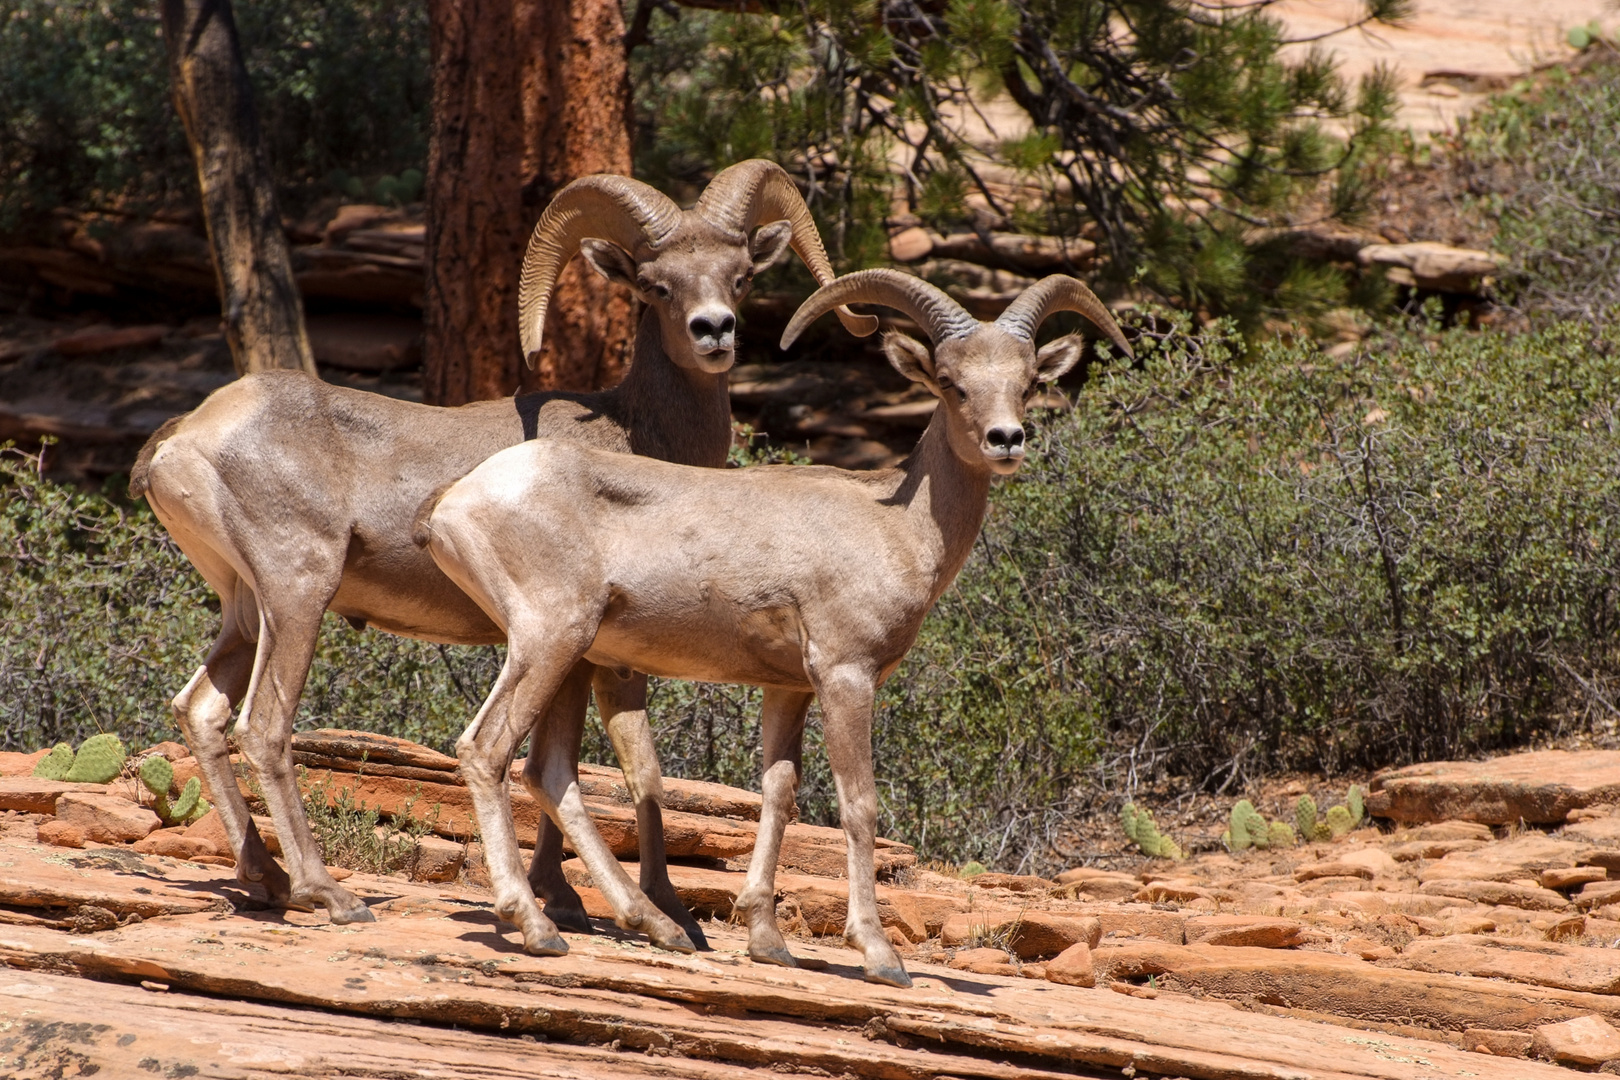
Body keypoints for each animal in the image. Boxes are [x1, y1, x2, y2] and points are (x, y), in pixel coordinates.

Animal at [132, 162, 874, 952]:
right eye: (656, 285)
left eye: (739, 277)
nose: (715, 331)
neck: (639, 435)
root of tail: (189, 435)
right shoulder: (592, 657)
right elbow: (599, 769)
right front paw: (630, 913)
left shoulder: (585, 658)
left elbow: (604, 772)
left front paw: (585, 904)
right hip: (297, 593)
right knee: (265, 727)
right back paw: (329, 895)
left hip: (244, 611)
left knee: (202, 711)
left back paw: (265, 882)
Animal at [417, 265, 1127, 984]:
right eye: (952, 383)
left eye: (1028, 382)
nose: (1006, 440)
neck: (897, 527)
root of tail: (454, 503)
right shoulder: (846, 677)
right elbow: (858, 804)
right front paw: (880, 954)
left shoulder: (788, 689)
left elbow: (777, 794)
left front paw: (768, 941)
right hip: (548, 640)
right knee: (487, 750)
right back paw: (537, 929)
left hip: (574, 660)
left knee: (552, 774)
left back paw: (657, 928)